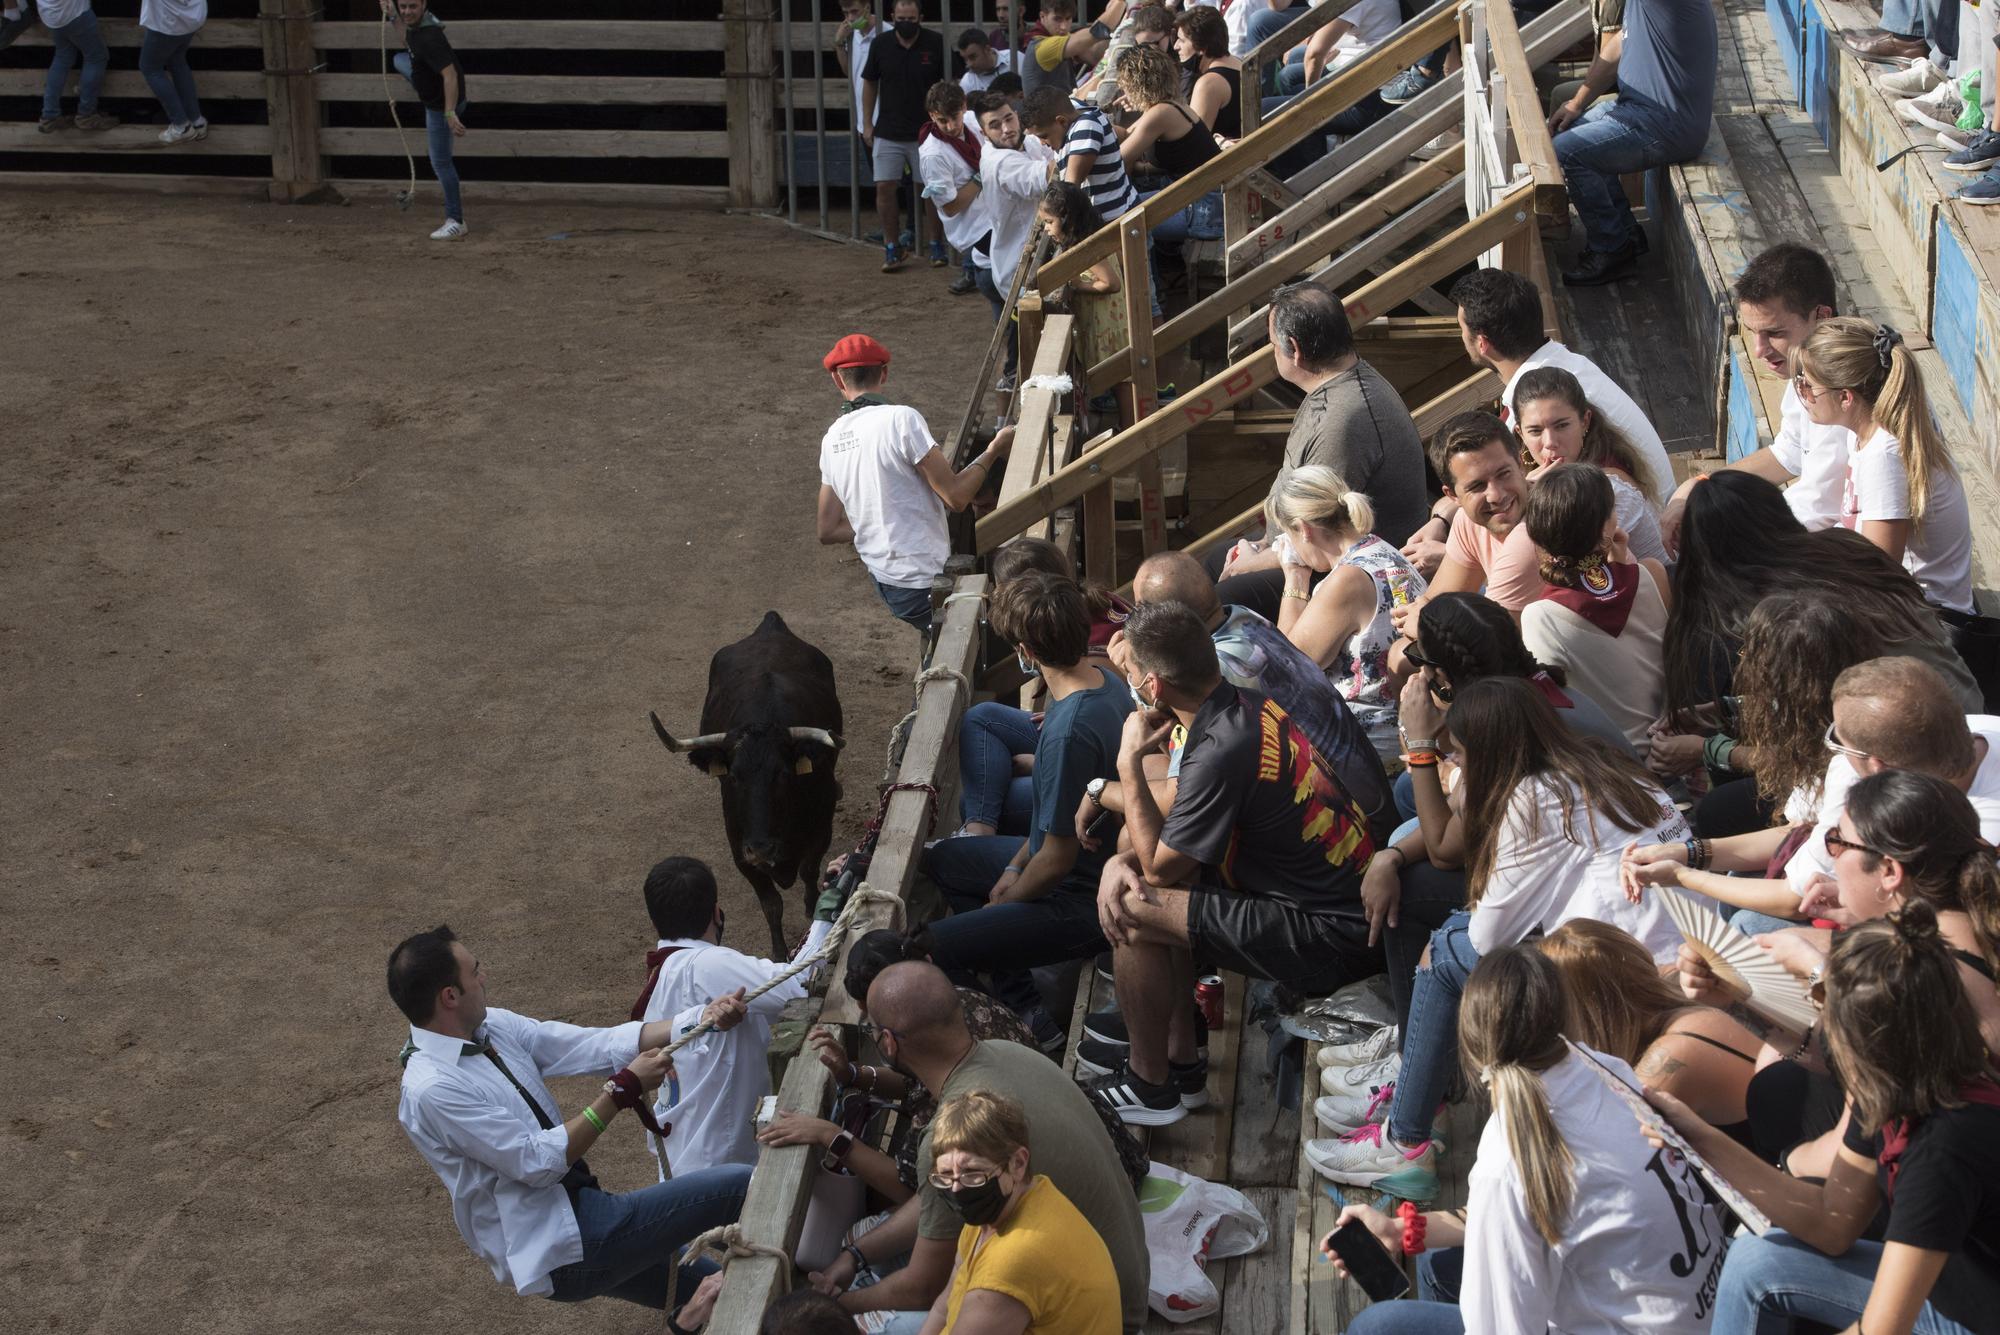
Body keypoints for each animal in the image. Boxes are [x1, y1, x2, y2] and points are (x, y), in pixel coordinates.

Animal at [656, 611, 844, 955]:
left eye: (783, 774)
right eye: (733, 776)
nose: (760, 848)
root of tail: (770, 624)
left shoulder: (821, 830)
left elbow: (809, 871)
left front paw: (812, 909)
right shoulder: (740, 851)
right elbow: (771, 905)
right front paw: (780, 953)